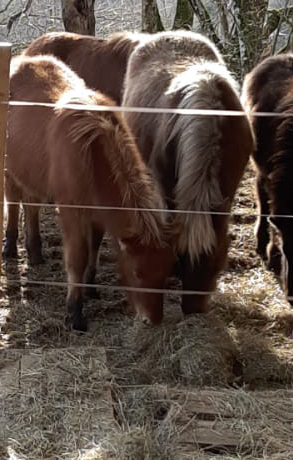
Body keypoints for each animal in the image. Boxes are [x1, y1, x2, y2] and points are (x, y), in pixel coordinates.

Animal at [4, 54, 172, 330]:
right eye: (137, 273)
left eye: (165, 271)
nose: (154, 319)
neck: (92, 149)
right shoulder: (71, 211)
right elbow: (77, 256)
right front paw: (75, 310)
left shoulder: (97, 213)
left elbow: (94, 246)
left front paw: (90, 286)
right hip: (10, 169)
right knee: (13, 200)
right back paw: (9, 246)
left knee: (31, 205)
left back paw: (35, 250)